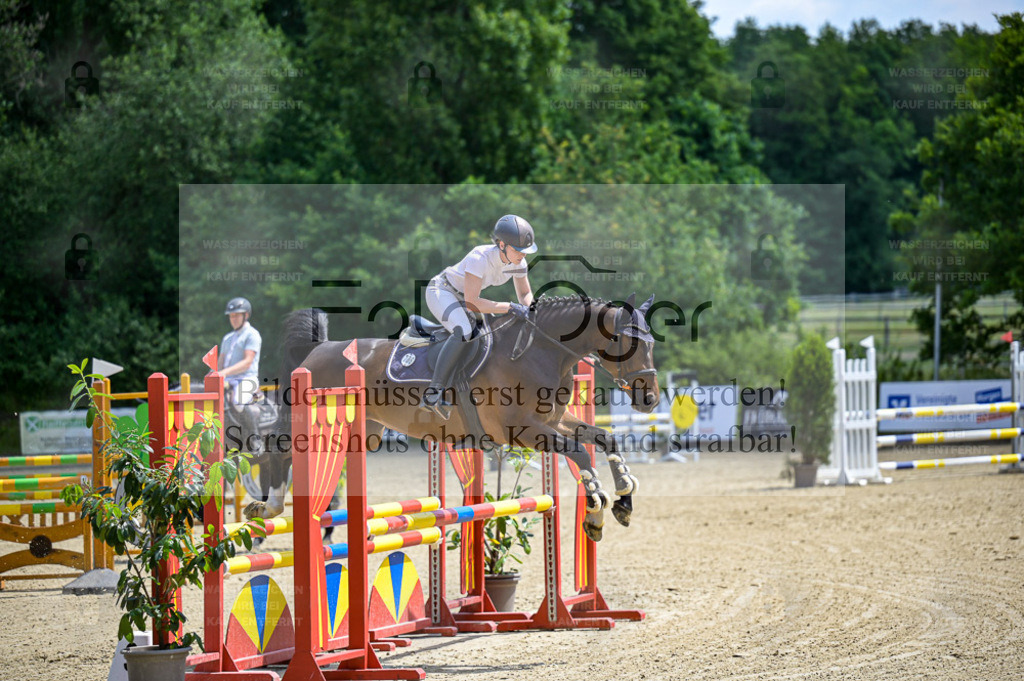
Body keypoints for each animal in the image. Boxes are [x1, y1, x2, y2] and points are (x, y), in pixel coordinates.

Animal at [249, 292, 663, 540]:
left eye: (651, 343)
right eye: (630, 341)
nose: (649, 400)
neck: (538, 352)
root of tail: (317, 350)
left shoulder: (551, 422)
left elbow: (604, 438)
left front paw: (623, 501)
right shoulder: (523, 430)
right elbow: (578, 452)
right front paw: (595, 512)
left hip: (364, 431)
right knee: (276, 448)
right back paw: (267, 506)